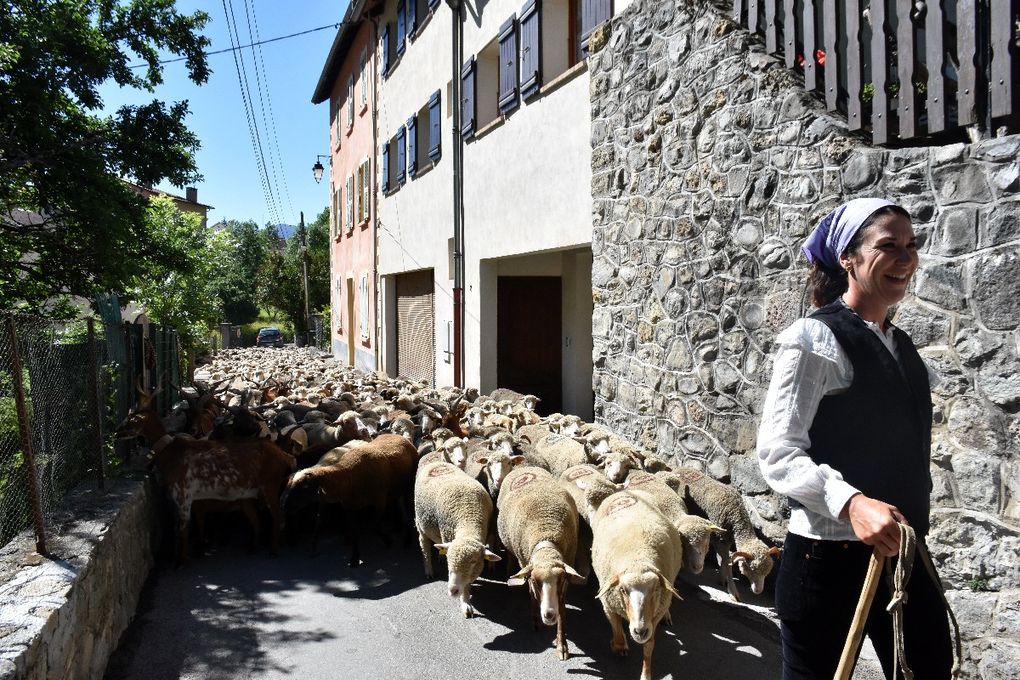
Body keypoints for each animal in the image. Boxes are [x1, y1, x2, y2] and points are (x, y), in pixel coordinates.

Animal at [410, 460, 497, 619]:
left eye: (473, 561)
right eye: (450, 560)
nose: (452, 590)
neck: (468, 518)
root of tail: (436, 462)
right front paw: (465, 603)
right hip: (420, 524)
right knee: (425, 547)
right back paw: (429, 570)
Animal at [587, 489, 681, 680]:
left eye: (655, 589)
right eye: (622, 589)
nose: (639, 631)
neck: (638, 559)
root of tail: (625, 491)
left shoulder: (654, 615)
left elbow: (649, 645)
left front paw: (646, 674)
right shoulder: (609, 604)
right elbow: (616, 628)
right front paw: (619, 645)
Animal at [656, 468, 775, 599]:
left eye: (768, 571)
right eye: (751, 569)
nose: (758, 591)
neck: (735, 513)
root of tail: (678, 469)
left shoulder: (726, 540)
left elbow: (725, 560)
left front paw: (723, 579)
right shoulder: (719, 540)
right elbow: (727, 561)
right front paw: (733, 591)